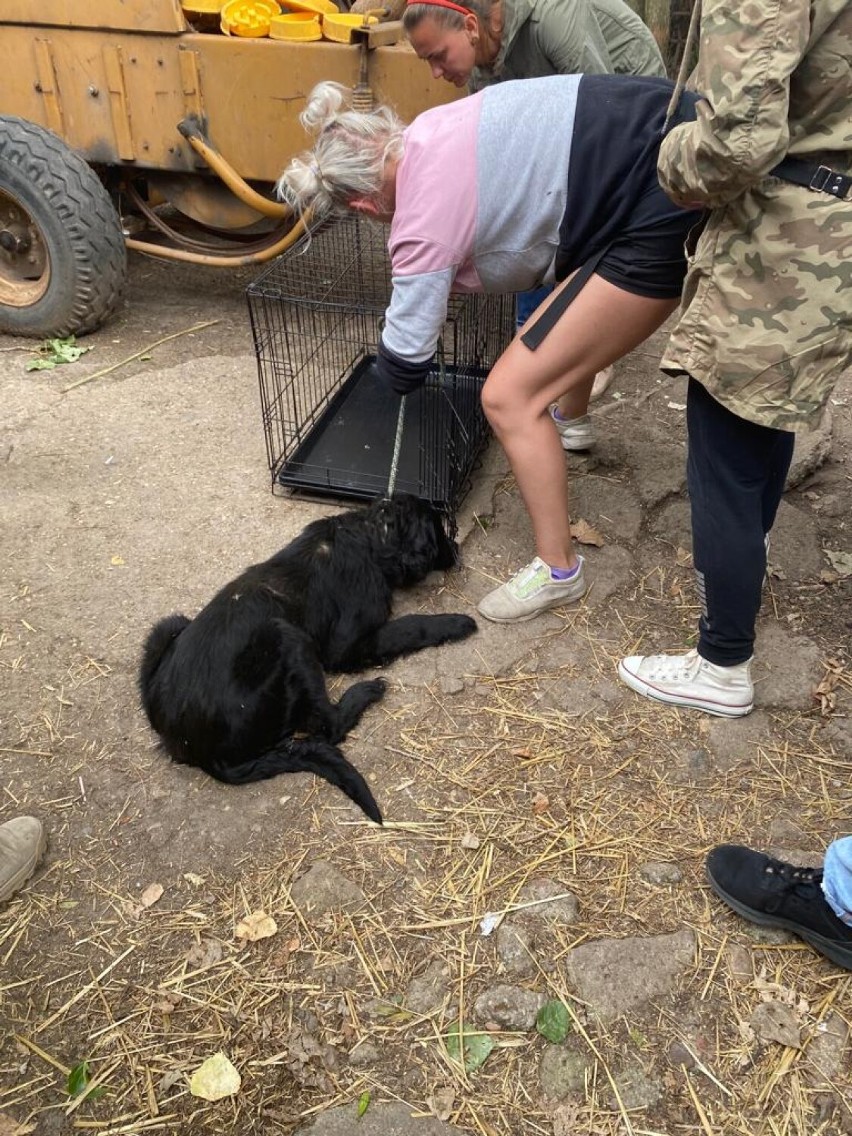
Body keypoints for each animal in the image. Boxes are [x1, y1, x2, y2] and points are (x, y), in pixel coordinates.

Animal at [136, 493, 477, 822]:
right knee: (328, 727)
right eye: (440, 531)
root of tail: (202, 754)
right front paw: (457, 622)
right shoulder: (347, 647)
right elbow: (409, 626)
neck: (371, 535)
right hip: (291, 638)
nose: (457, 551)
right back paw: (365, 693)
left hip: (169, 626)